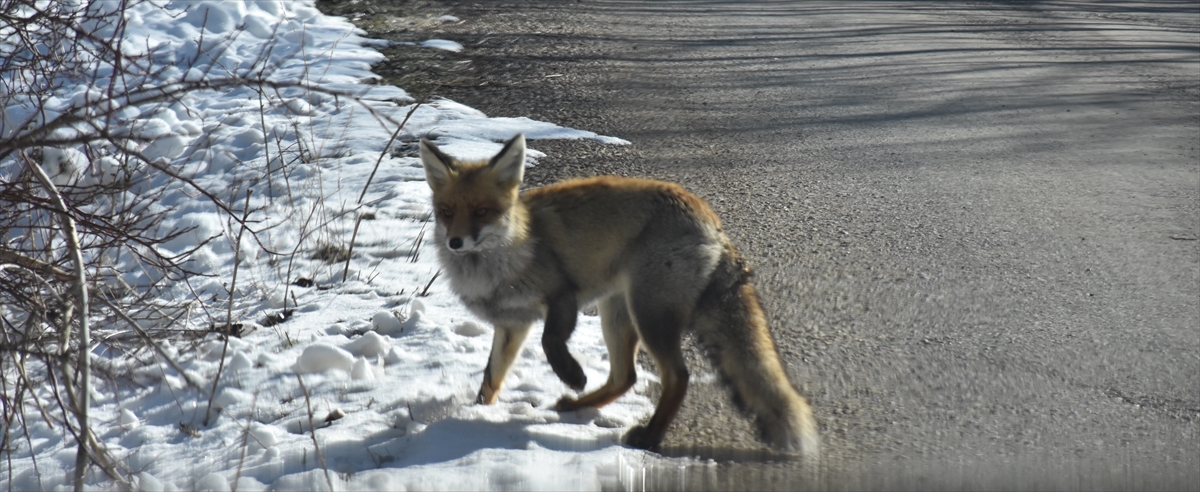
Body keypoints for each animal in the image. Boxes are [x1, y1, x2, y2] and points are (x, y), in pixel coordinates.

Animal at [417, 134, 820, 458]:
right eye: (447, 213)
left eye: (482, 212)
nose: (456, 242)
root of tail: (712, 221)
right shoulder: (512, 324)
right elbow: (491, 379)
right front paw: (475, 413)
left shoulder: (562, 295)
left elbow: (550, 341)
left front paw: (572, 374)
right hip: (617, 311)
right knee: (625, 377)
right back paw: (577, 405)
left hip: (648, 314)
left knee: (677, 376)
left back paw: (649, 436)